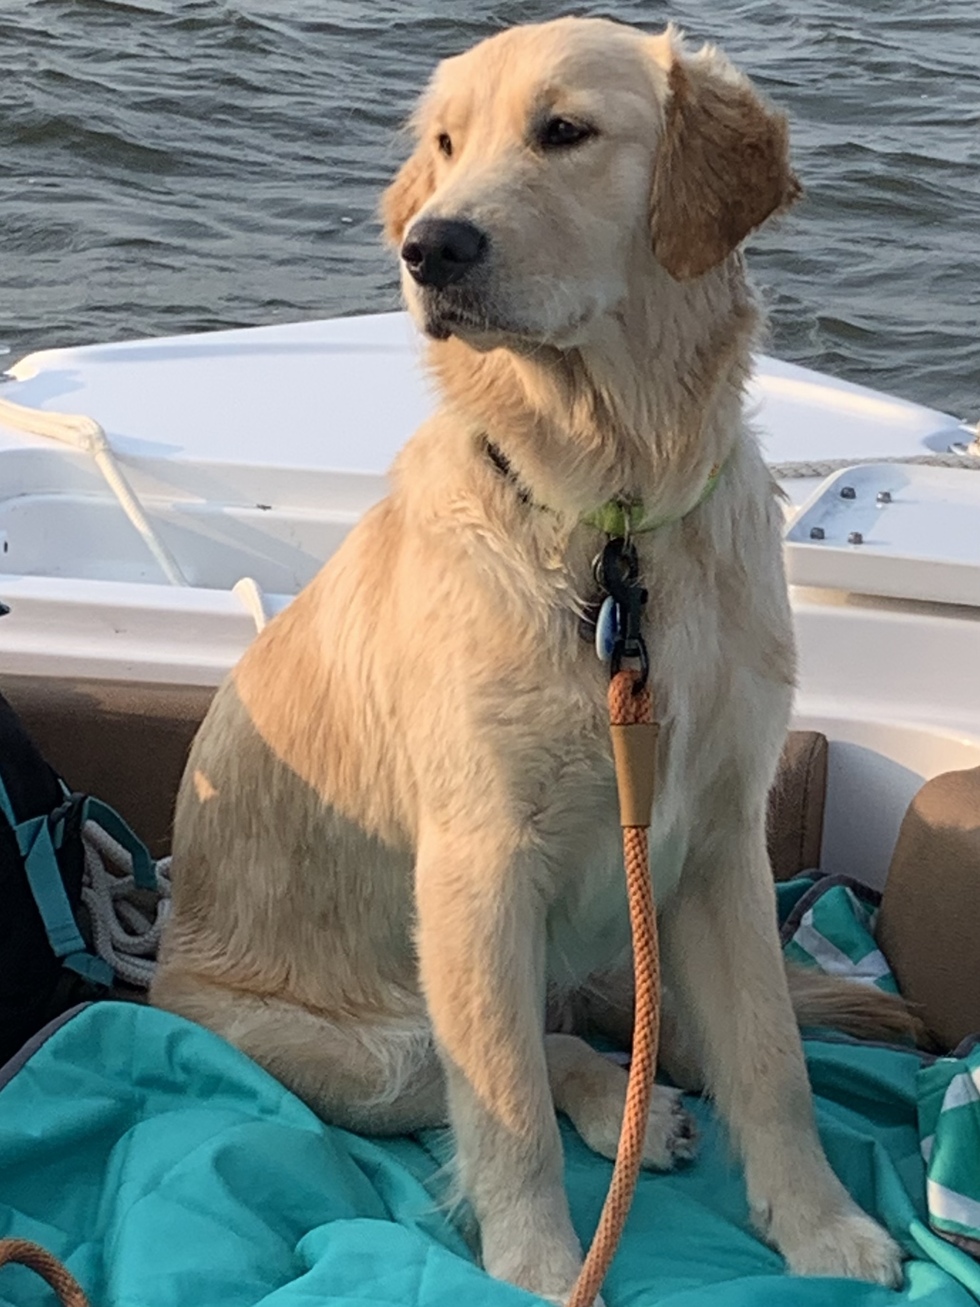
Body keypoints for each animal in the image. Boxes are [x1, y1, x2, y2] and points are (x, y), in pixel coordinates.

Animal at [152, 17, 907, 1301]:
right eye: (447, 144)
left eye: (564, 131)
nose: (429, 247)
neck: (612, 519)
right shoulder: (475, 869)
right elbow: (502, 1103)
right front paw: (544, 1265)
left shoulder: (720, 843)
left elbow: (771, 1056)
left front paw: (819, 1227)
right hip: (379, 1041)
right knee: (510, 1054)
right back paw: (622, 1107)